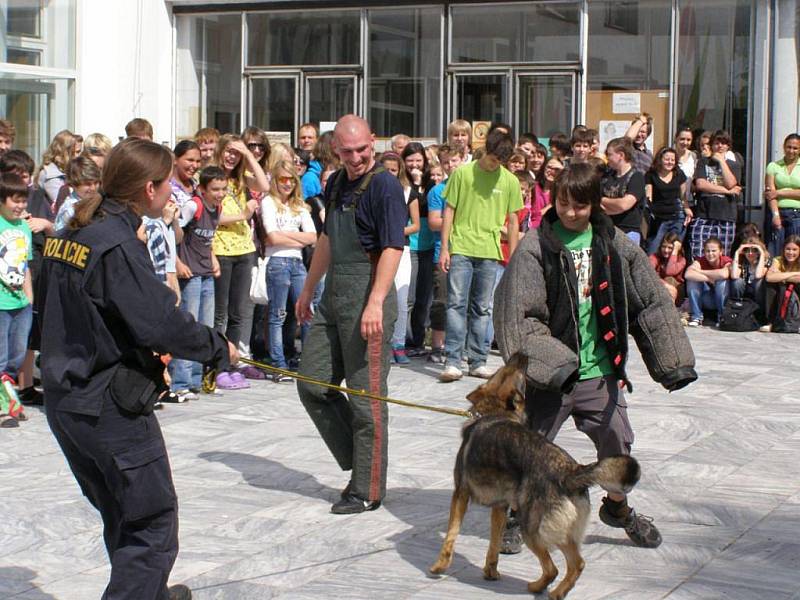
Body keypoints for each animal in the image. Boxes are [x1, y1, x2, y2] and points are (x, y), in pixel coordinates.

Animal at [428, 354, 640, 596]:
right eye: (509, 371)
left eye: (514, 375)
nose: (521, 354)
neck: (495, 413)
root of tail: (570, 472)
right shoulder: (499, 507)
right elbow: (493, 545)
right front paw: (491, 572)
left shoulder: (460, 494)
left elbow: (451, 535)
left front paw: (439, 566)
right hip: (560, 531)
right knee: (577, 563)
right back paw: (557, 592)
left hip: (532, 528)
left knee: (553, 569)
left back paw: (539, 587)